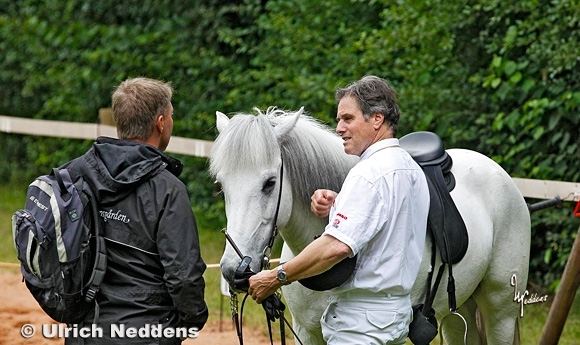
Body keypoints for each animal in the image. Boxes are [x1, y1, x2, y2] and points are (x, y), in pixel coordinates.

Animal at [211, 106, 532, 342]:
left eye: (269, 183)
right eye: (222, 185)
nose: (233, 271)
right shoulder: (307, 332)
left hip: (500, 310)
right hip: (457, 311)